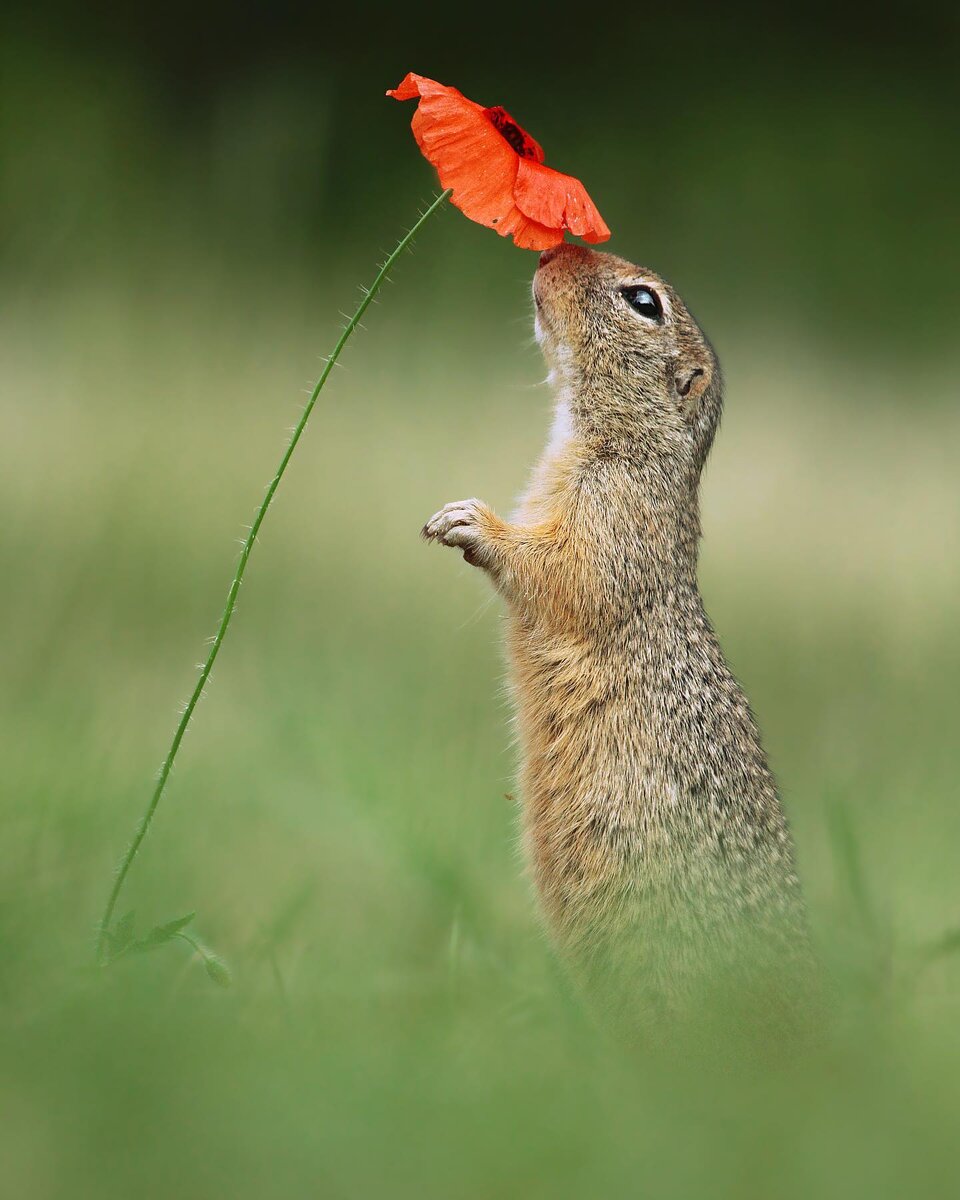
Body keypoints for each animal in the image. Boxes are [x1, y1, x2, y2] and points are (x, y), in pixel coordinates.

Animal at [424, 243, 816, 1032]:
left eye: (643, 302)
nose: (554, 250)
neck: (618, 440)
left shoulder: (615, 519)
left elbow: (560, 568)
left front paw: (472, 523)